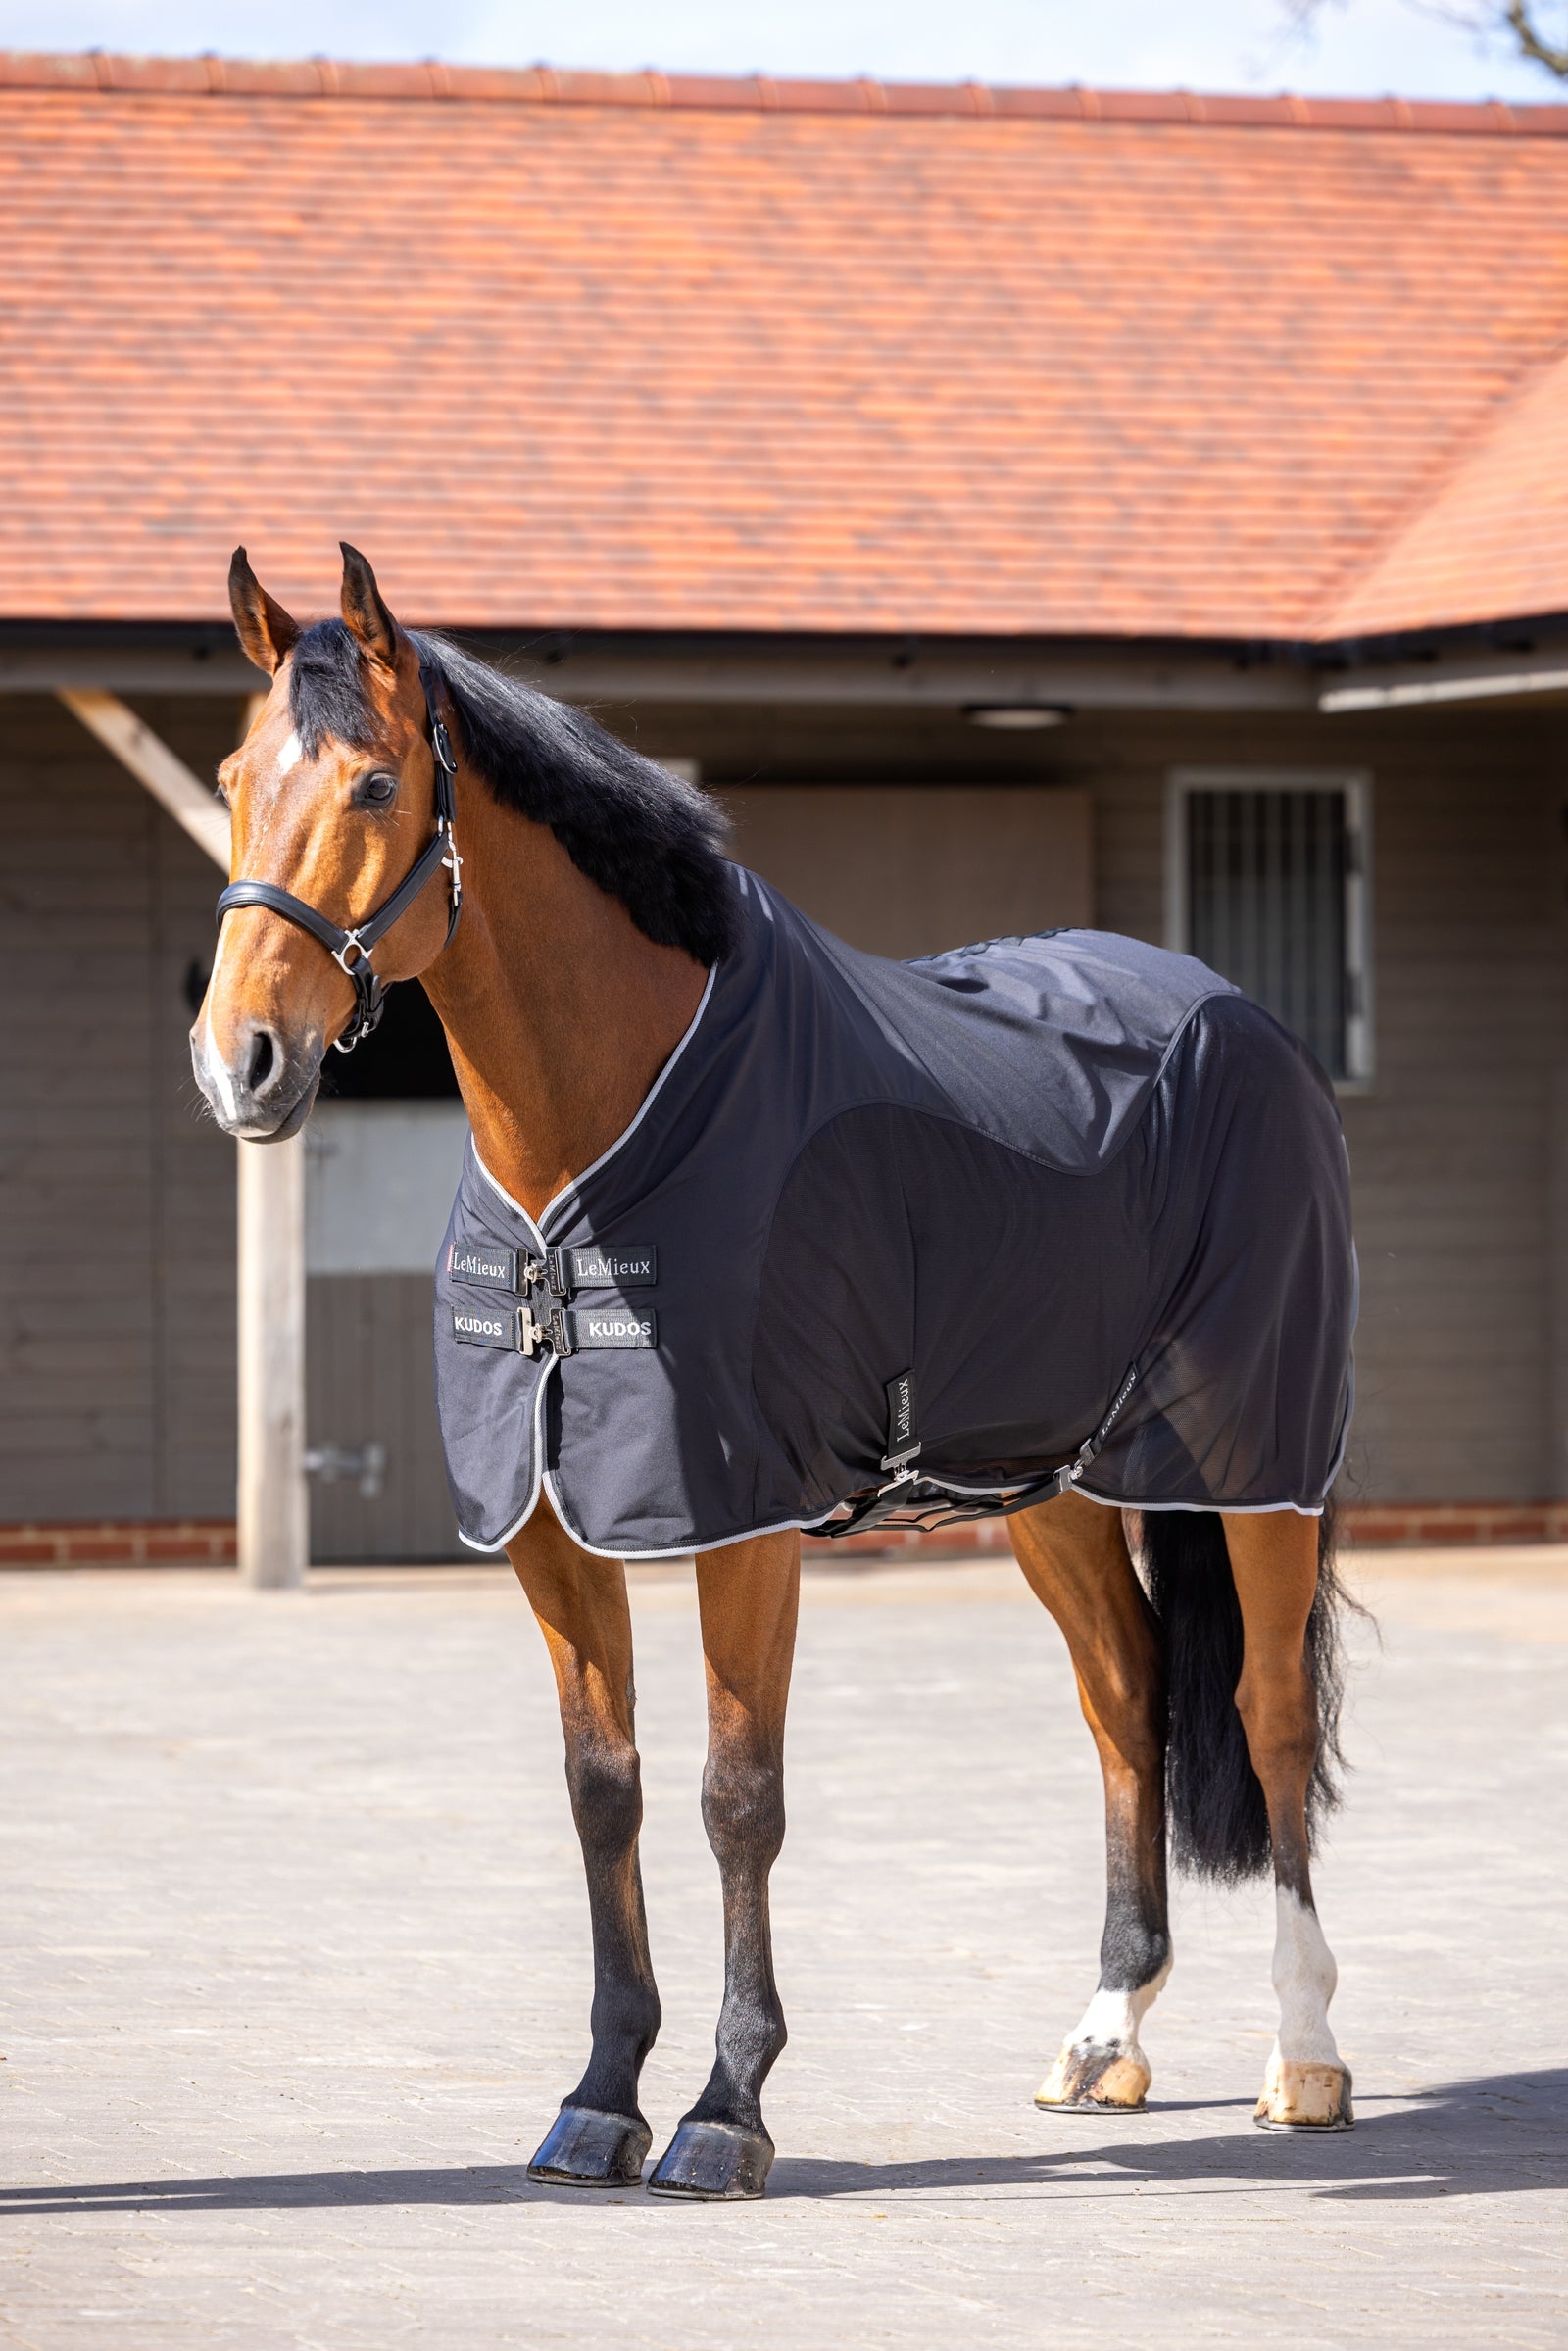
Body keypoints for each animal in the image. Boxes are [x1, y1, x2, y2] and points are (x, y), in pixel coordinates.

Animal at [193, 541, 1359, 2203]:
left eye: (370, 783)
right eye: (232, 778)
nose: (240, 1061)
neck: (600, 1140)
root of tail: (1238, 1019)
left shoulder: (739, 1521)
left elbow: (736, 1797)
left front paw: (723, 2108)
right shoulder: (555, 1525)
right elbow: (603, 1789)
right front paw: (598, 2096)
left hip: (1263, 1466)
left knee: (1266, 1717)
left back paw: (1305, 2054)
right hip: (1054, 1485)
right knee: (1126, 1699)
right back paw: (1103, 2034)